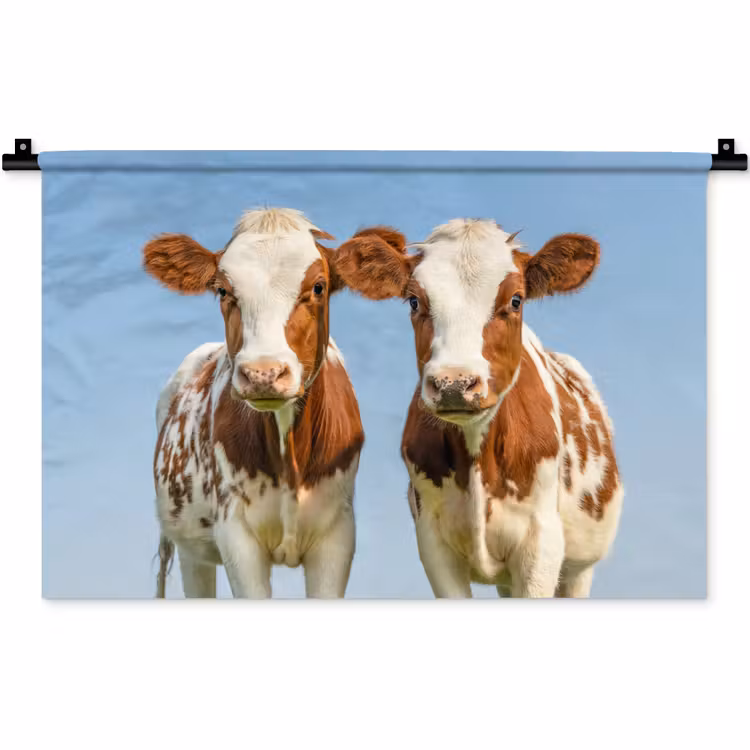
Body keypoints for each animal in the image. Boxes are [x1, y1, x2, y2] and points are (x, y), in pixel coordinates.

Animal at [143, 208, 364, 598]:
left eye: (318, 287)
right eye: (222, 289)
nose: (263, 373)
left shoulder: (338, 535)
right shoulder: (236, 536)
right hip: (190, 548)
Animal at [331, 219, 624, 598]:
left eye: (516, 300)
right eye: (414, 300)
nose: (454, 383)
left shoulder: (541, 545)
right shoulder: (434, 542)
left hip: (579, 567)